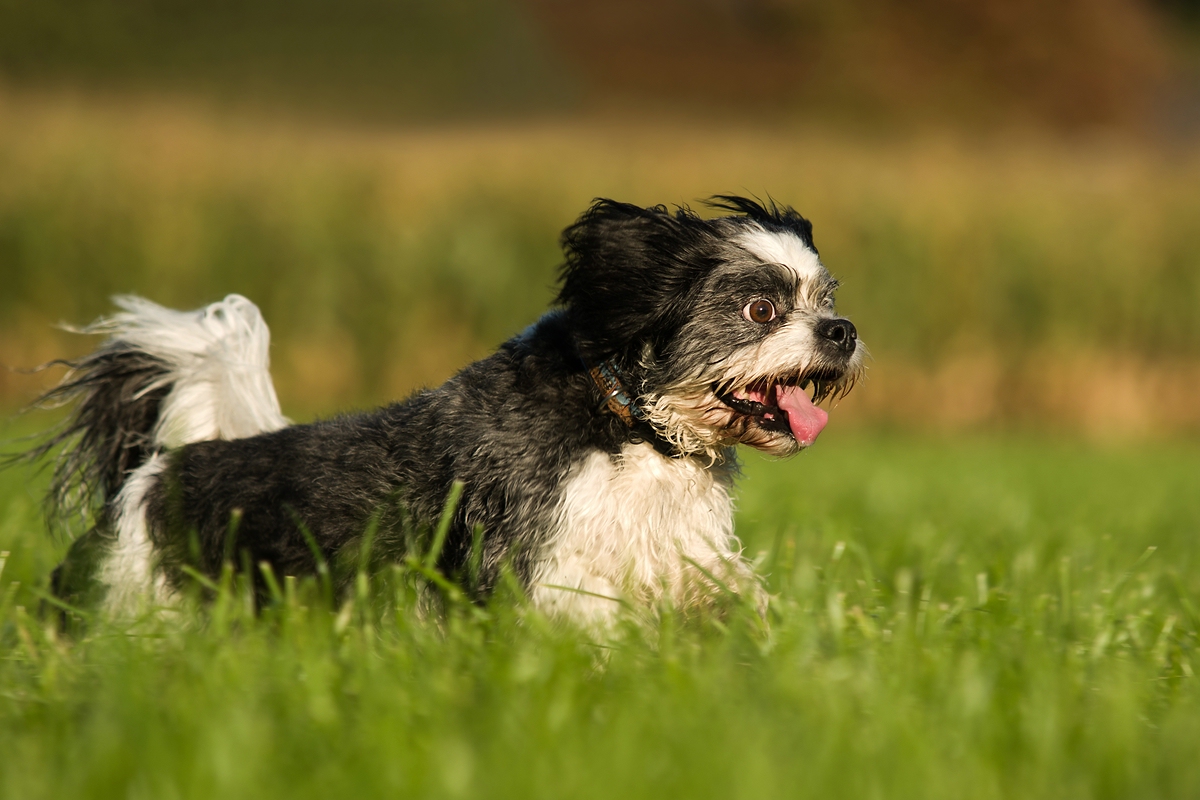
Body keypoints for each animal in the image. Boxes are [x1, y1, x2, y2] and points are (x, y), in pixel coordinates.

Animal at [21, 196, 864, 628]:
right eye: (761, 309)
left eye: (827, 301)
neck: (632, 424)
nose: (843, 331)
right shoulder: (539, 556)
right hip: (140, 593)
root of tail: (155, 472)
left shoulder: (681, 554)